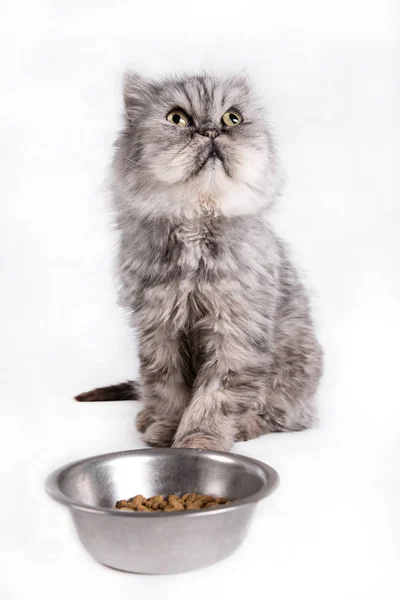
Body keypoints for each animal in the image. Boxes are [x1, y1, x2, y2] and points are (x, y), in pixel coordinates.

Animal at [76, 70, 324, 450]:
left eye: (232, 118)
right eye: (177, 118)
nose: (210, 131)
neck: (196, 218)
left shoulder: (235, 332)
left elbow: (215, 397)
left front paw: (199, 441)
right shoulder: (160, 329)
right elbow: (167, 388)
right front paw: (166, 430)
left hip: (296, 372)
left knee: (284, 417)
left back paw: (246, 426)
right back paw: (147, 417)